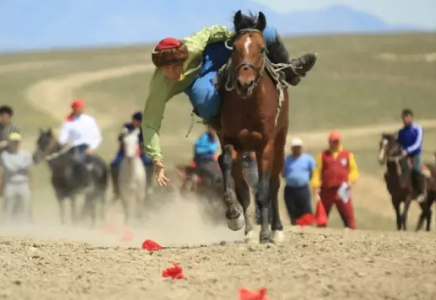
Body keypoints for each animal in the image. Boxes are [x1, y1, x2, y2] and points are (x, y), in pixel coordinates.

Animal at [215, 11, 290, 244]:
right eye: (235, 47)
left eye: (262, 48)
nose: (244, 83)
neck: (248, 105)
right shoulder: (231, 140)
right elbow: (227, 165)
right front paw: (233, 214)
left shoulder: (265, 145)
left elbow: (264, 191)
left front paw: (265, 234)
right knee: (244, 187)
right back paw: (248, 229)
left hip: (280, 142)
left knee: (274, 184)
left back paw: (276, 229)